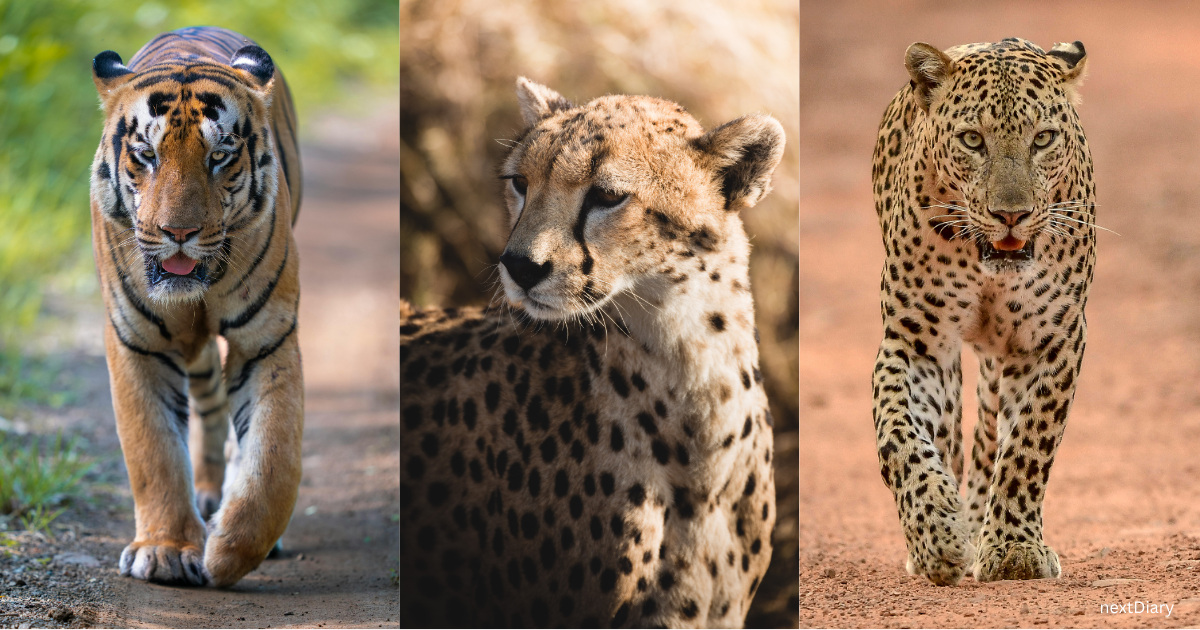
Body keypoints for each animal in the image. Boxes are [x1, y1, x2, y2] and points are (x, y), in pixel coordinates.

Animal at [89, 26, 303, 588]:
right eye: (146, 154)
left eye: (220, 156)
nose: (178, 233)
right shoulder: (136, 343)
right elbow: (154, 451)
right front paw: (165, 551)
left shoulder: (266, 340)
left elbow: (274, 457)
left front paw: (230, 552)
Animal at [870, 38, 1094, 586]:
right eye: (973, 140)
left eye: (1043, 138)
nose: (1010, 214)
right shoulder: (917, 344)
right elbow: (900, 437)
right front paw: (937, 535)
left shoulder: (1052, 341)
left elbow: (1028, 445)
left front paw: (1013, 548)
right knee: (949, 435)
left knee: (991, 434)